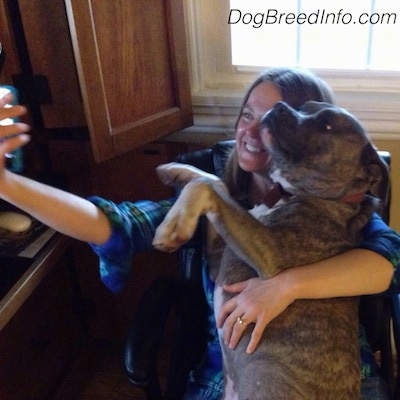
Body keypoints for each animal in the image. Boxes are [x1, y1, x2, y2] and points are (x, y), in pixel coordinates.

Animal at [152, 102, 388, 400]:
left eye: (326, 125)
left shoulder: (269, 254)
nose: (279, 106)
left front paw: (172, 227)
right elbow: (215, 182)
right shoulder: (219, 261)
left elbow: (208, 188)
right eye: (305, 107)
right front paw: (174, 169)